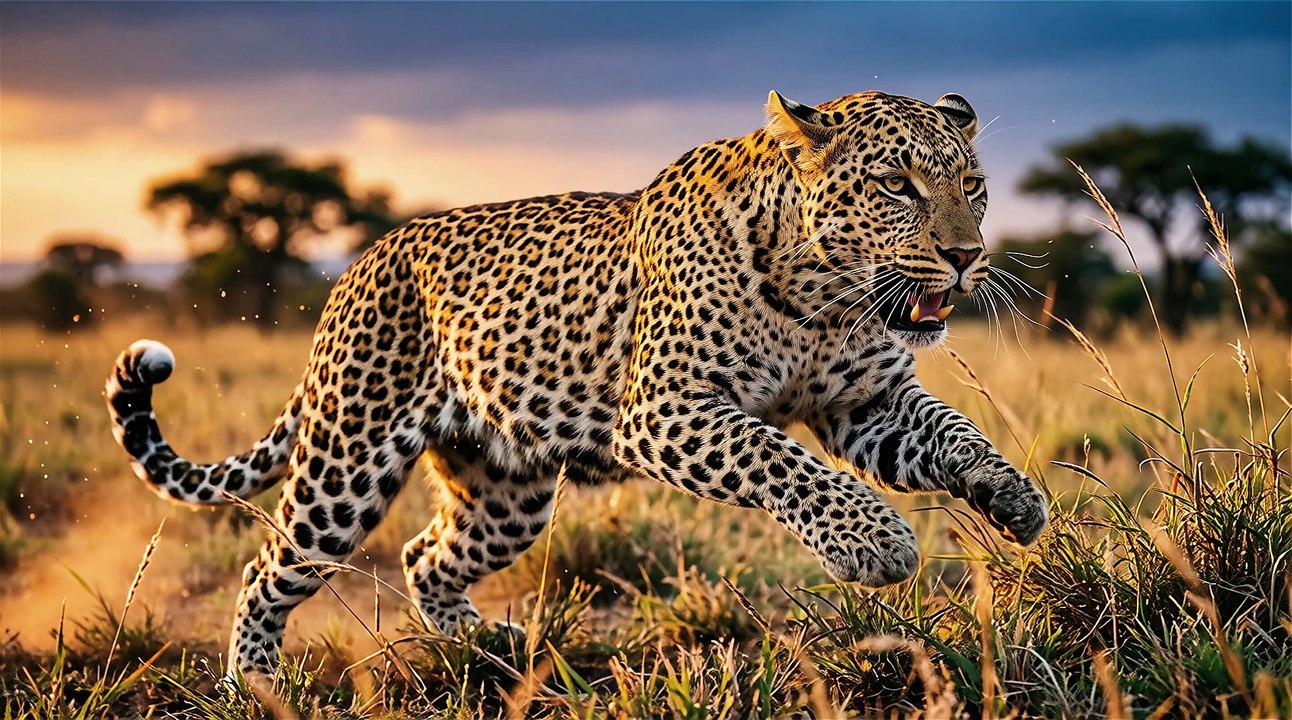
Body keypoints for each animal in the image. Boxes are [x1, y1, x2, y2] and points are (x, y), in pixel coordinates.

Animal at [105, 89, 1049, 678]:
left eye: (973, 185)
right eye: (897, 184)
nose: (966, 256)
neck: (824, 294)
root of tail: (357, 267)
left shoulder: (866, 406)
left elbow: (955, 433)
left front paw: (1014, 497)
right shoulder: (666, 408)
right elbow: (781, 458)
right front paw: (874, 542)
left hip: (508, 493)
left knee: (425, 556)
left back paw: (487, 649)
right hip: (345, 468)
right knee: (267, 568)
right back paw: (255, 685)